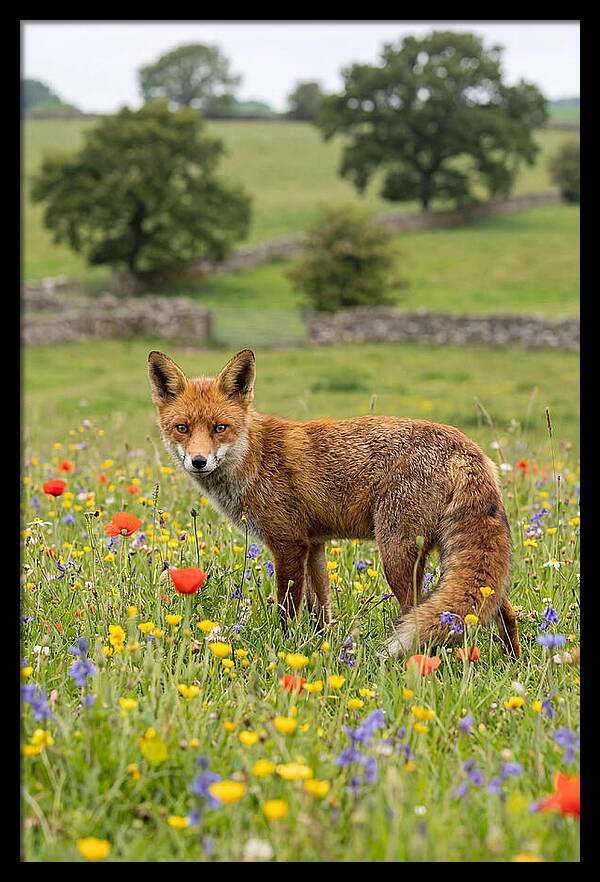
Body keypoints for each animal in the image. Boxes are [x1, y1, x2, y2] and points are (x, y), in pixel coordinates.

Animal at [148, 348, 520, 658]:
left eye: (219, 427)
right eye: (182, 428)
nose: (198, 461)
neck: (254, 457)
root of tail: (465, 446)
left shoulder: (288, 544)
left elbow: (287, 609)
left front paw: (284, 648)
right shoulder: (314, 545)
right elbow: (321, 609)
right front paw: (322, 646)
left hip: (396, 553)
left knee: (415, 612)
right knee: (502, 609)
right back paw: (512, 661)